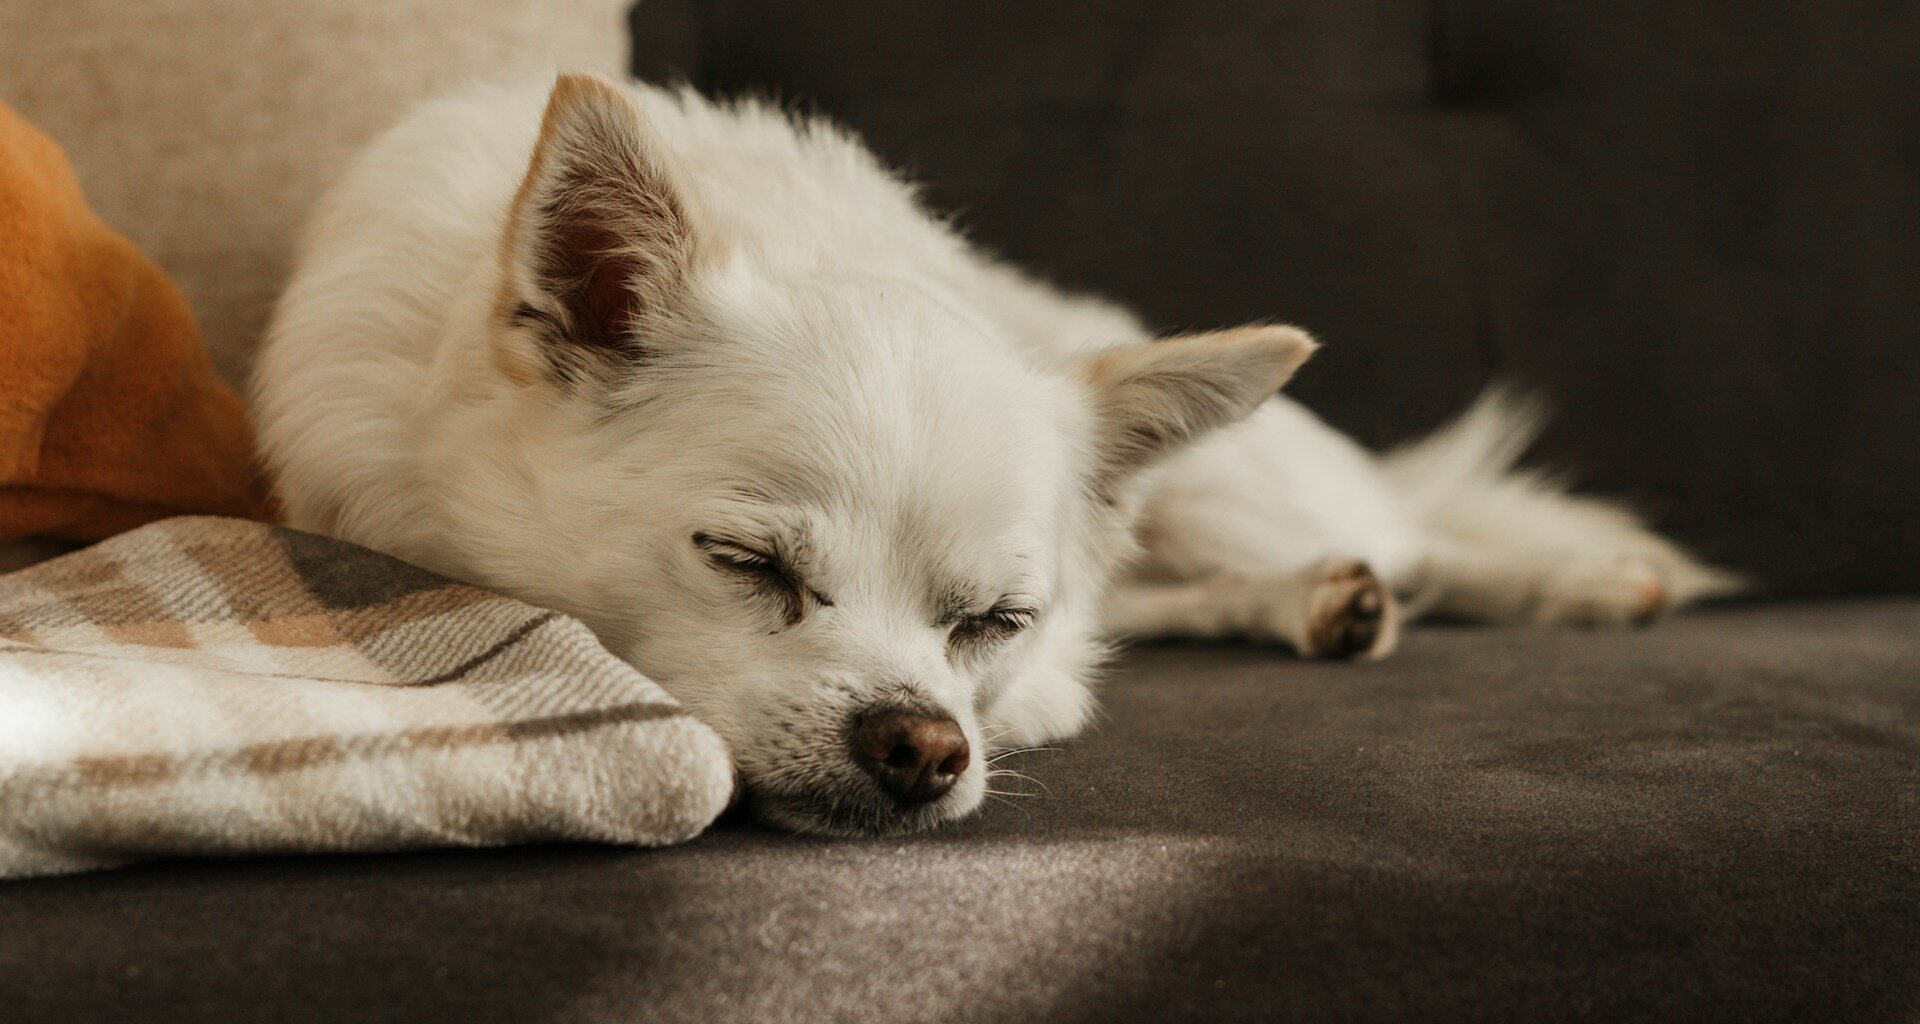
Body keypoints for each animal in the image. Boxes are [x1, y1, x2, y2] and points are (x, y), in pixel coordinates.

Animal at [255, 75, 1743, 833]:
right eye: (746, 563)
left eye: (992, 620)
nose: (923, 744)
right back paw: (1324, 602)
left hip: (1237, 486)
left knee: (1411, 529)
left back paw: (1572, 580)